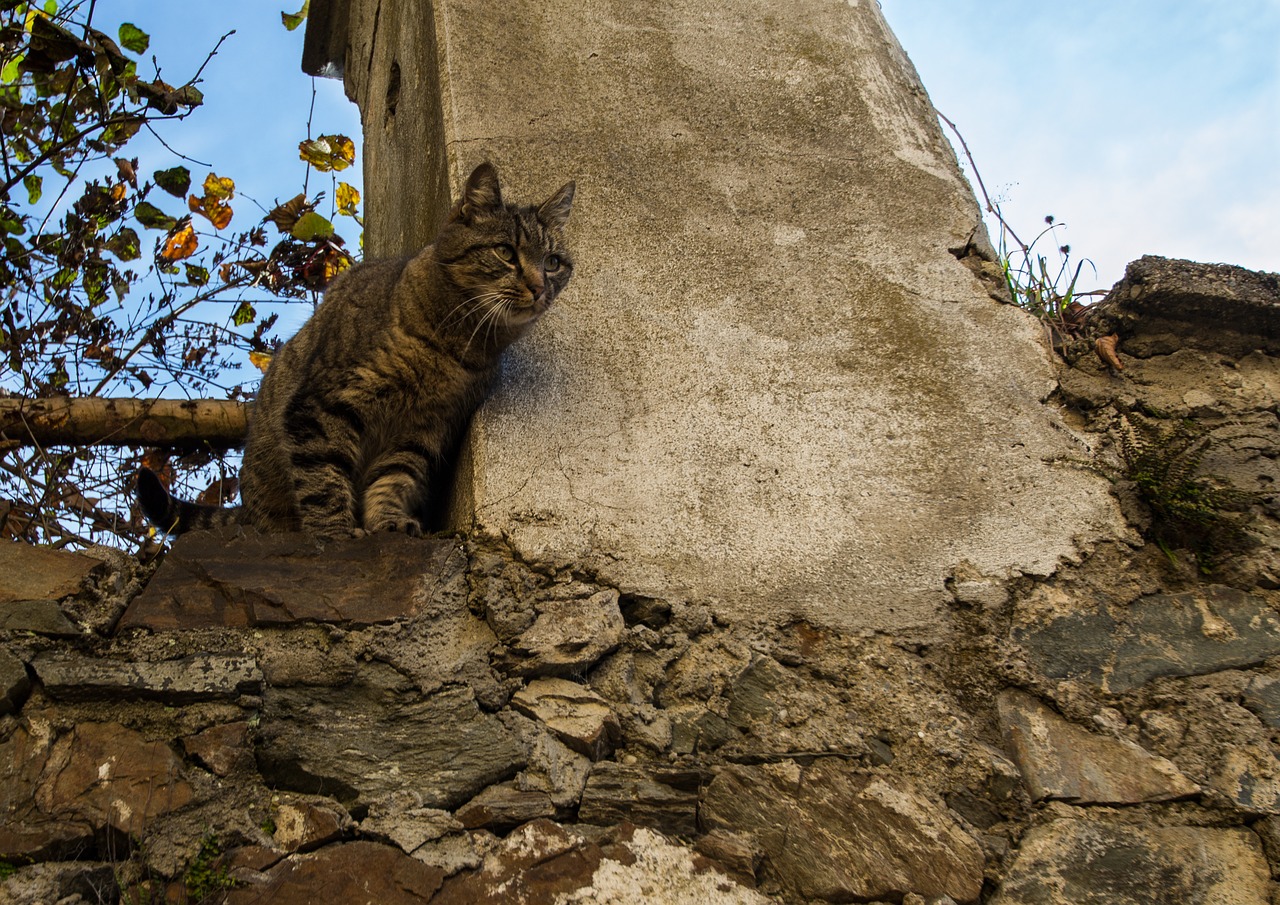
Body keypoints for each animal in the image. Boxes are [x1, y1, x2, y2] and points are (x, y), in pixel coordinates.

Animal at [140, 162, 576, 537]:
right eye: (505, 252)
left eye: (553, 262)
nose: (539, 287)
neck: (454, 348)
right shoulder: (323, 405)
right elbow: (323, 478)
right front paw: (334, 533)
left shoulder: (421, 429)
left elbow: (391, 480)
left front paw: (388, 521)